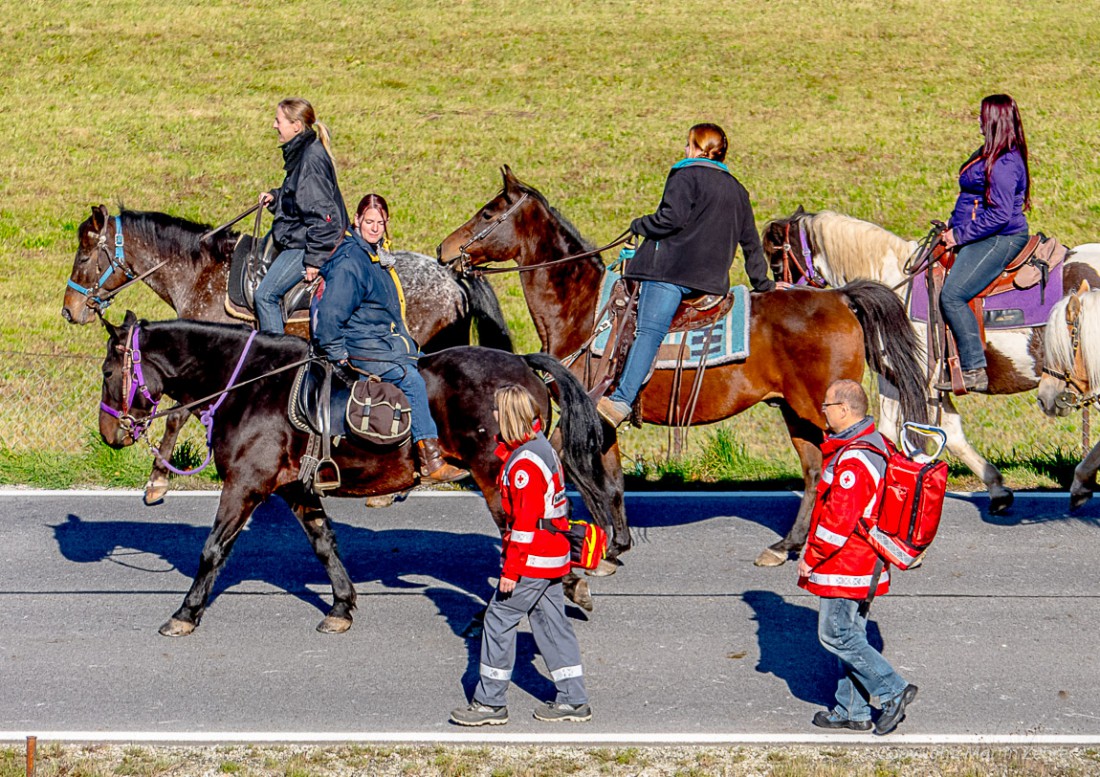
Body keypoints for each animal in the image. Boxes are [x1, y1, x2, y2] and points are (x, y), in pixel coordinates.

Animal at [66, 205, 512, 506]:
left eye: (84, 256)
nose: (70, 310)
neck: (199, 273)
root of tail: (452, 275)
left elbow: (177, 415)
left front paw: (157, 482)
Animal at [96, 310, 620, 633]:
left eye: (106, 372)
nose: (109, 434)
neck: (252, 383)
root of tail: (524, 366)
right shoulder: (296, 489)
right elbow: (325, 546)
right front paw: (342, 606)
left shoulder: (245, 484)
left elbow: (213, 550)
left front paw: (185, 613)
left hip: (497, 479)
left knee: (526, 538)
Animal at [437, 166, 928, 567]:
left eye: (487, 212)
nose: (444, 248)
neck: (585, 310)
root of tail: (839, 296)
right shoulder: (604, 419)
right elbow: (613, 481)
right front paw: (616, 543)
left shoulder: (581, 414)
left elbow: (573, 466)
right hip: (798, 411)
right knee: (813, 471)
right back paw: (785, 546)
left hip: (823, 408)